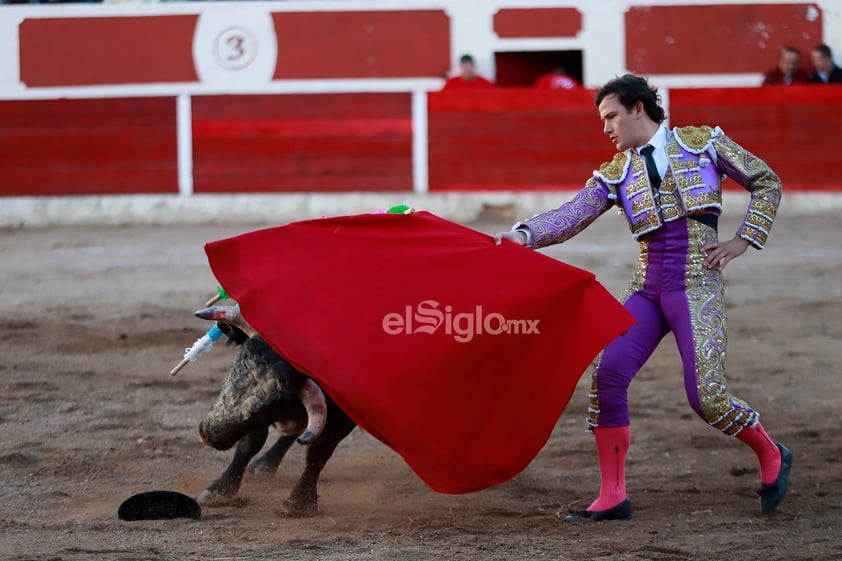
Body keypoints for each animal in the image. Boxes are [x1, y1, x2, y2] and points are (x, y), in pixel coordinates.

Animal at [194, 306, 354, 516]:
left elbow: (319, 452)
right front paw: (220, 490)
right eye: (234, 368)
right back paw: (265, 465)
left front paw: (300, 502)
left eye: (272, 407)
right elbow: (250, 443)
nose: (209, 433)